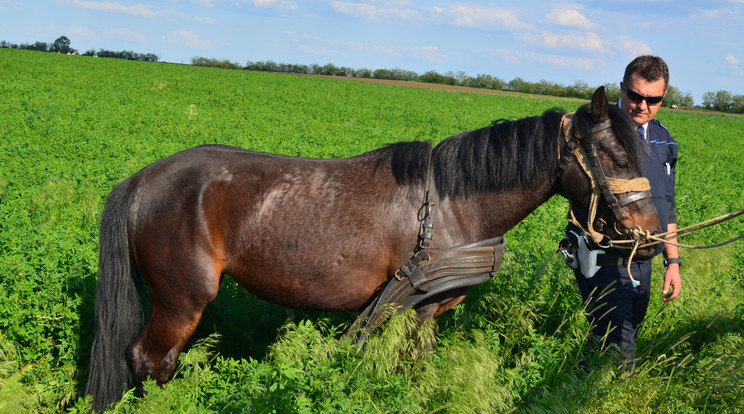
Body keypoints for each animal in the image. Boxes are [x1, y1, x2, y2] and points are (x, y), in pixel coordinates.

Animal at [84, 87, 660, 410]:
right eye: (616, 157)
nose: (652, 238)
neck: (452, 204)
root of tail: (143, 181)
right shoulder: (420, 309)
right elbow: (415, 371)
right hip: (183, 298)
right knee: (148, 359)